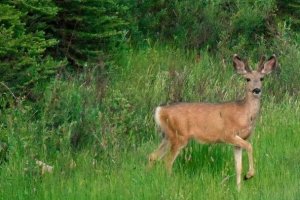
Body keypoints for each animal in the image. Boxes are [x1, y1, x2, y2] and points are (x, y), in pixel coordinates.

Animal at [149, 54, 278, 191]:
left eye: (262, 78)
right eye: (247, 79)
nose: (256, 90)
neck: (244, 113)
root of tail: (160, 111)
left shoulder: (238, 141)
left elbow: (238, 166)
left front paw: (238, 189)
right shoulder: (227, 134)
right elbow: (249, 146)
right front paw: (249, 175)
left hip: (168, 135)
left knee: (153, 156)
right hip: (180, 136)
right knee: (167, 161)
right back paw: (170, 184)